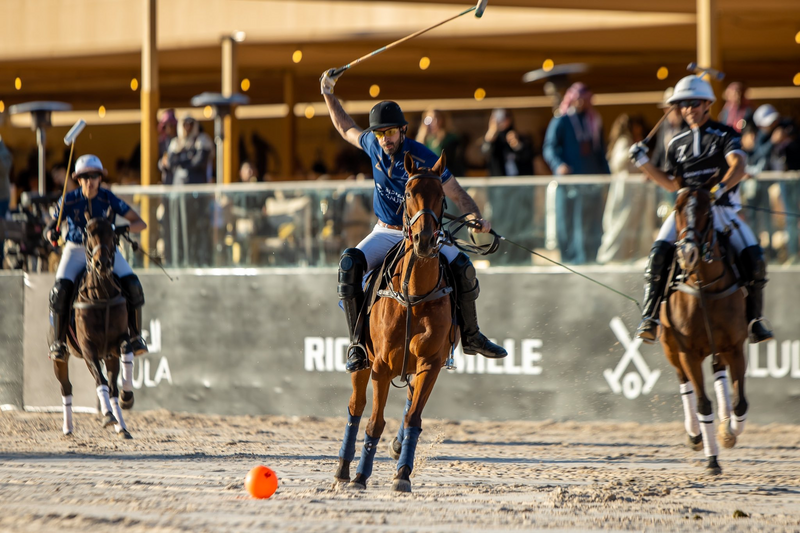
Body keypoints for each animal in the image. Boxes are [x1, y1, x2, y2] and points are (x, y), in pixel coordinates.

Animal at [54, 210, 134, 438]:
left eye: (113, 234)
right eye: (87, 234)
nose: (102, 264)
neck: (102, 294)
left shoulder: (118, 343)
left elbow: (126, 353)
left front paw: (127, 396)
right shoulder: (88, 347)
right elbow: (100, 381)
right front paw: (107, 415)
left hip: (109, 356)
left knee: (113, 389)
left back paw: (122, 426)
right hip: (61, 355)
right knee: (66, 387)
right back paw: (68, 428)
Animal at [332, 152, 456, 492]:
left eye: (441, 196)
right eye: (409, 193)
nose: (424, 240)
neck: (413, 294)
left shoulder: (430, 363)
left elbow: (413, 418)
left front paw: (402, 474)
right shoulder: (382, 365)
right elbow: (375, 422)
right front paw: (360, 476)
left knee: (408, 406)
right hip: (363, 363)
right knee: (355, 408)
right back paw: (343, 470)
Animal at [660, 181, 748, 472]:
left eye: (707, 212)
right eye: (676, 209)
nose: (687, 253)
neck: (704, 286)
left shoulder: (735, 346)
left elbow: (740, 403)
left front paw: (728, 433)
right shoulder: (688, 351)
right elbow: (702, 403)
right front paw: (712, 459)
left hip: (718, 348)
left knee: (720, 375)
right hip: (670, 346)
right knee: (684, 382)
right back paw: (695, 435)